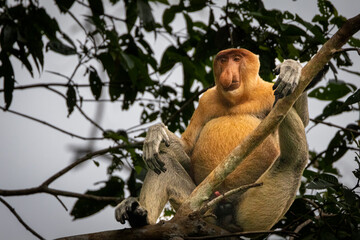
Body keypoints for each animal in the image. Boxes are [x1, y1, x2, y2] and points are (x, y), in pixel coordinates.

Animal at [114, 48, 310, 231]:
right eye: (223, 60)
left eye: (236, 59)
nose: (227, 74)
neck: (237, 101)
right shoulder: (206, 100)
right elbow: (187, 148)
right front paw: (155, 134)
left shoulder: (267, 90)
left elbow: (298, 116)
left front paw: (290, 69)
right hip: (198, 205)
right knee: (164, 162)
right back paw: (139, 218)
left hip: (254, 214)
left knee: (294, 159)